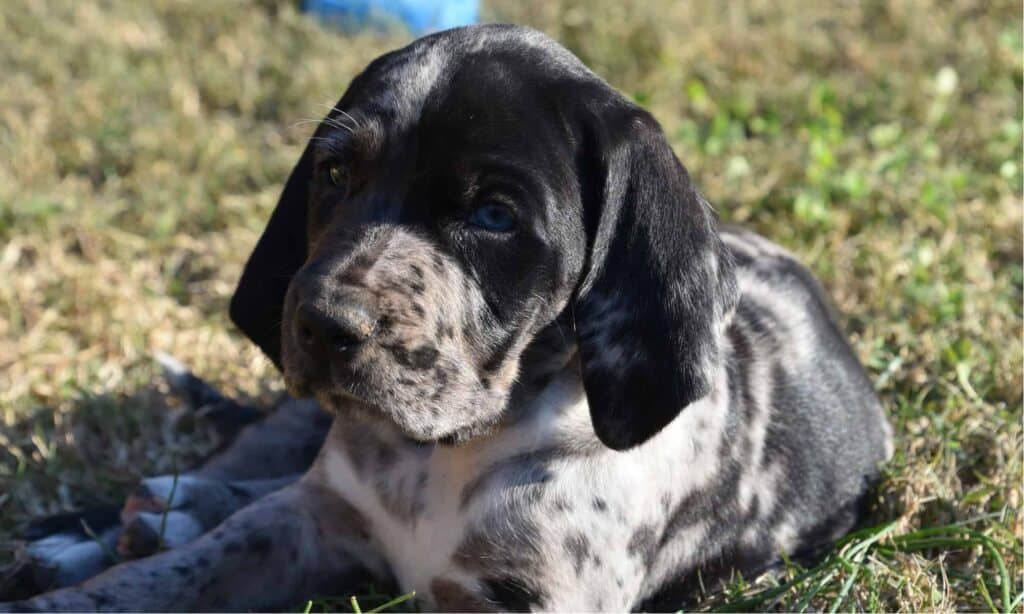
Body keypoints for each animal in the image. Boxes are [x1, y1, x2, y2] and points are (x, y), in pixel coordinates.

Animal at [4, 22, 892, 609]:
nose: (321, 323)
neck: (446, 451)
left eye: (494, 215)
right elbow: (167, 576)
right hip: (288, 432)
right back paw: (105, 531)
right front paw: (76, 590)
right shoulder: (301, 523)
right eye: (334, 173)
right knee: (232, 476)